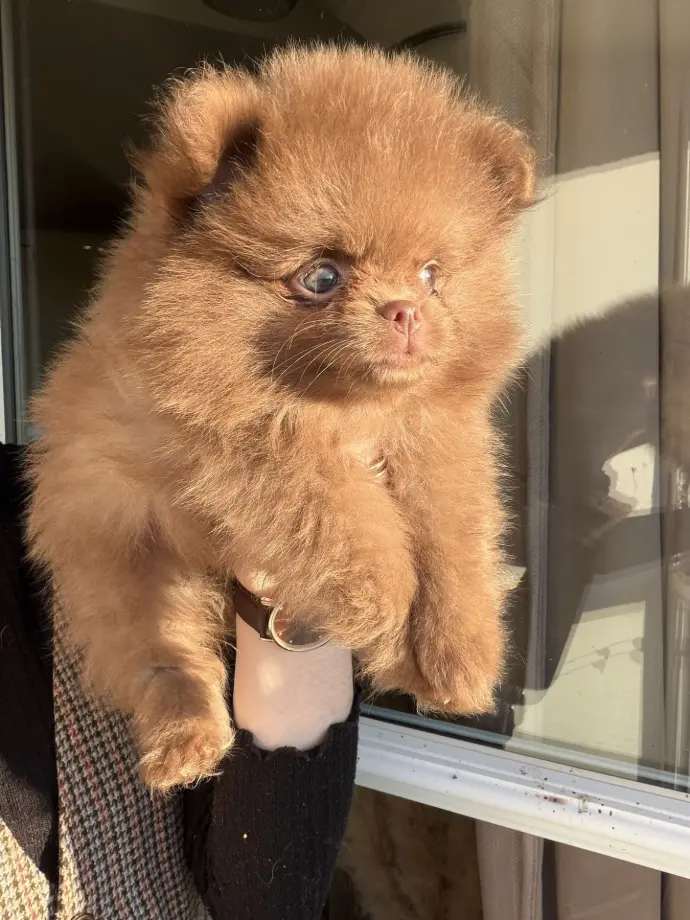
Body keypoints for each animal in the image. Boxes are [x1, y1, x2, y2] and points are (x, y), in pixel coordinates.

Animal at [27, 45, 536, 790]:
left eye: (431, 275)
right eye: (321, 277)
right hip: (123, 548)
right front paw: (385, 598)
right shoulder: (238, 448)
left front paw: (457, 654)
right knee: (161, 655)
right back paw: (186, 742)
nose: (405, 311)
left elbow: (452, 542)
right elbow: (341, 513)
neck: (347, 410)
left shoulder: (441, 442)